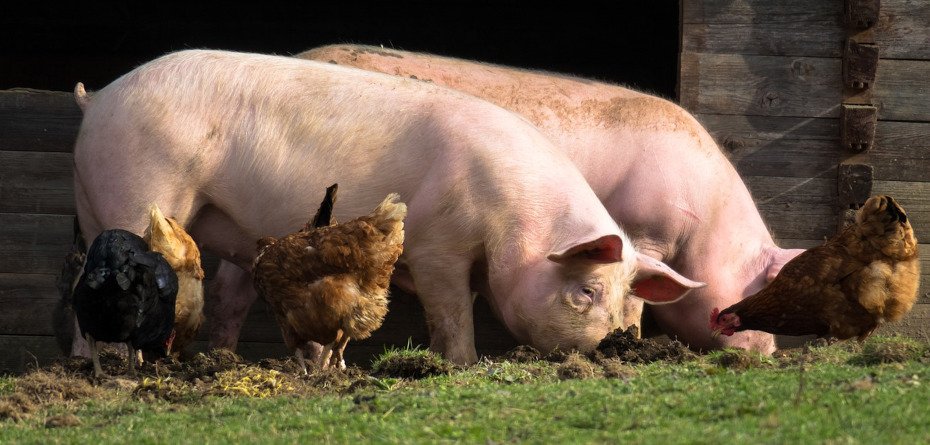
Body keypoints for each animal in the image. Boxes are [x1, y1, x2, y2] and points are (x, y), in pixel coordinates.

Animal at [71, 49, 703, 364]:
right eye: (587, 291)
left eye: (624, 298)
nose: (617, 346)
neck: (514, 221)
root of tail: (99, 98)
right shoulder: (437, 246)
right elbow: (452, 314)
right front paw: (460, 365)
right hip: (141, 186)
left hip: (94, 202)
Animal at [296, 44, 808, 354]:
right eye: (758, 291)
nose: (768, 353)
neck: (704, 226)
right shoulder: (643, 231)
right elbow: (635, 298)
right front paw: (633, 341)